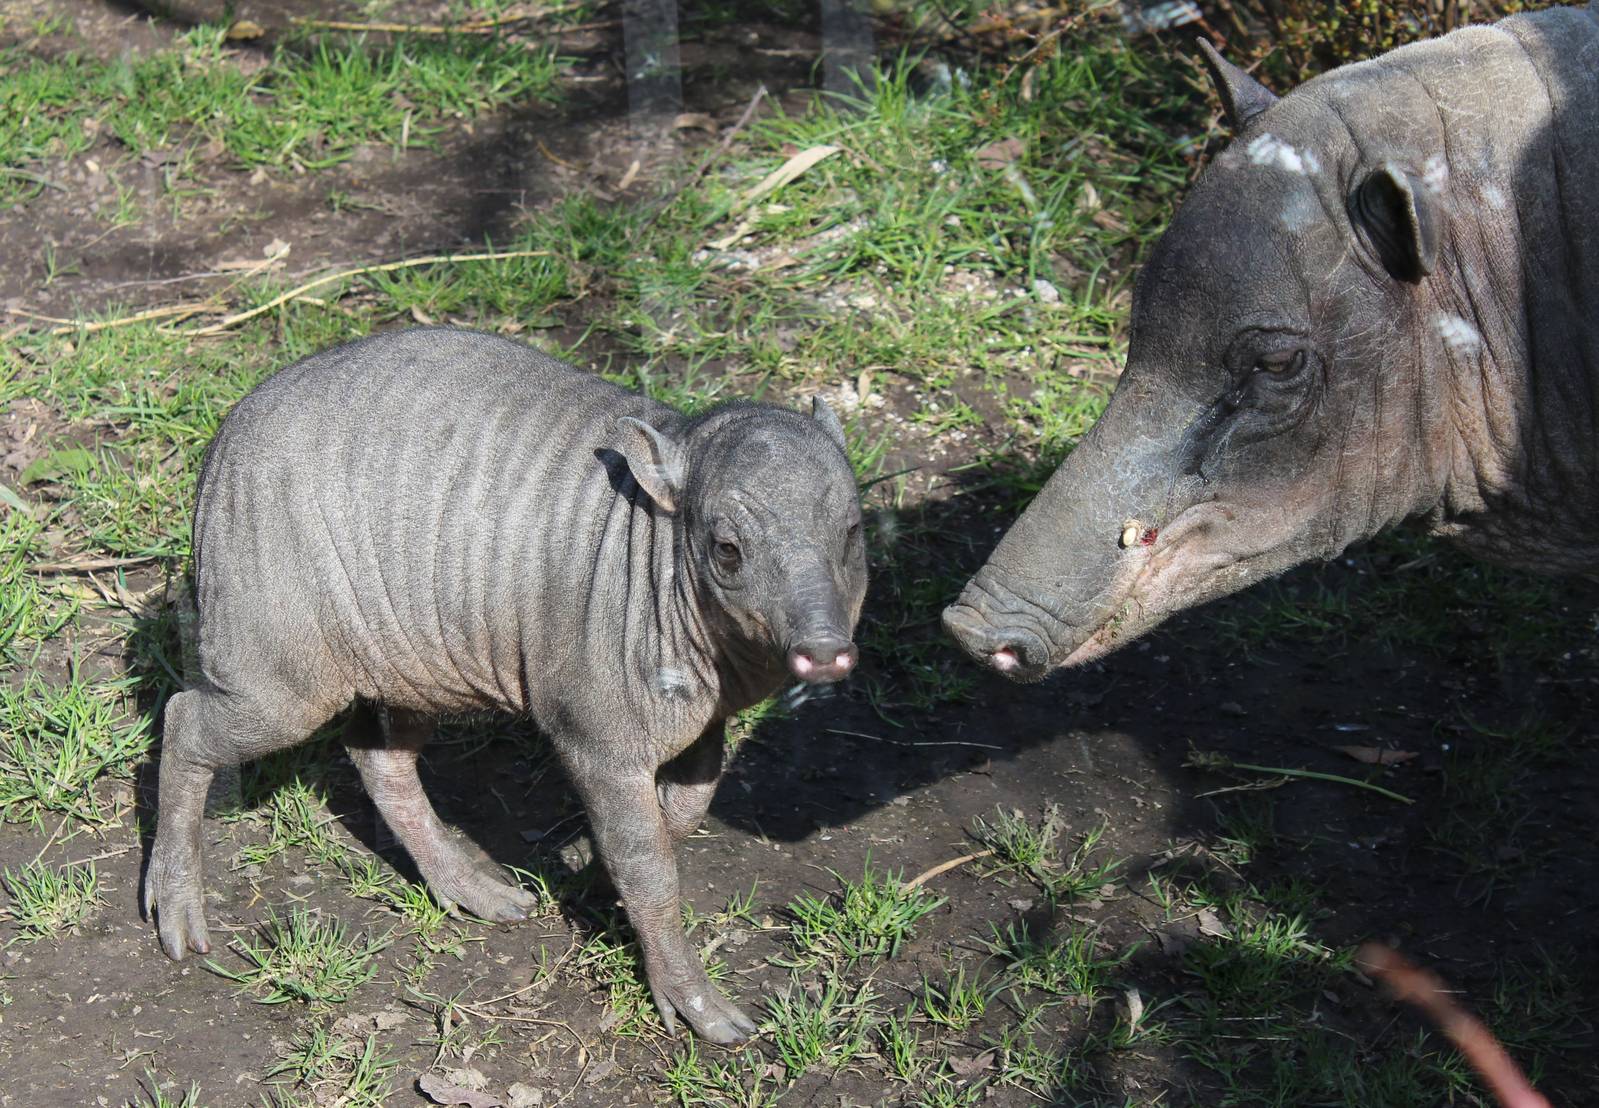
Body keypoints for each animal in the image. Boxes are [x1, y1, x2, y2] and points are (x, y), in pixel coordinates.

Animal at [143, 327, 867, 1043]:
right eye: (727, 551)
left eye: (854, 533)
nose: (824, 655)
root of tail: (217, 448)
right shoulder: (598, 737)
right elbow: (650, 867)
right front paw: (695, 1004)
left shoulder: (703, 719)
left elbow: (684, 811)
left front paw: (594, 882)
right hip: (280, 672)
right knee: (185, 718)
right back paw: (176, 908)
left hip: (414, 664)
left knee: (376, 757)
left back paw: (474, 890)